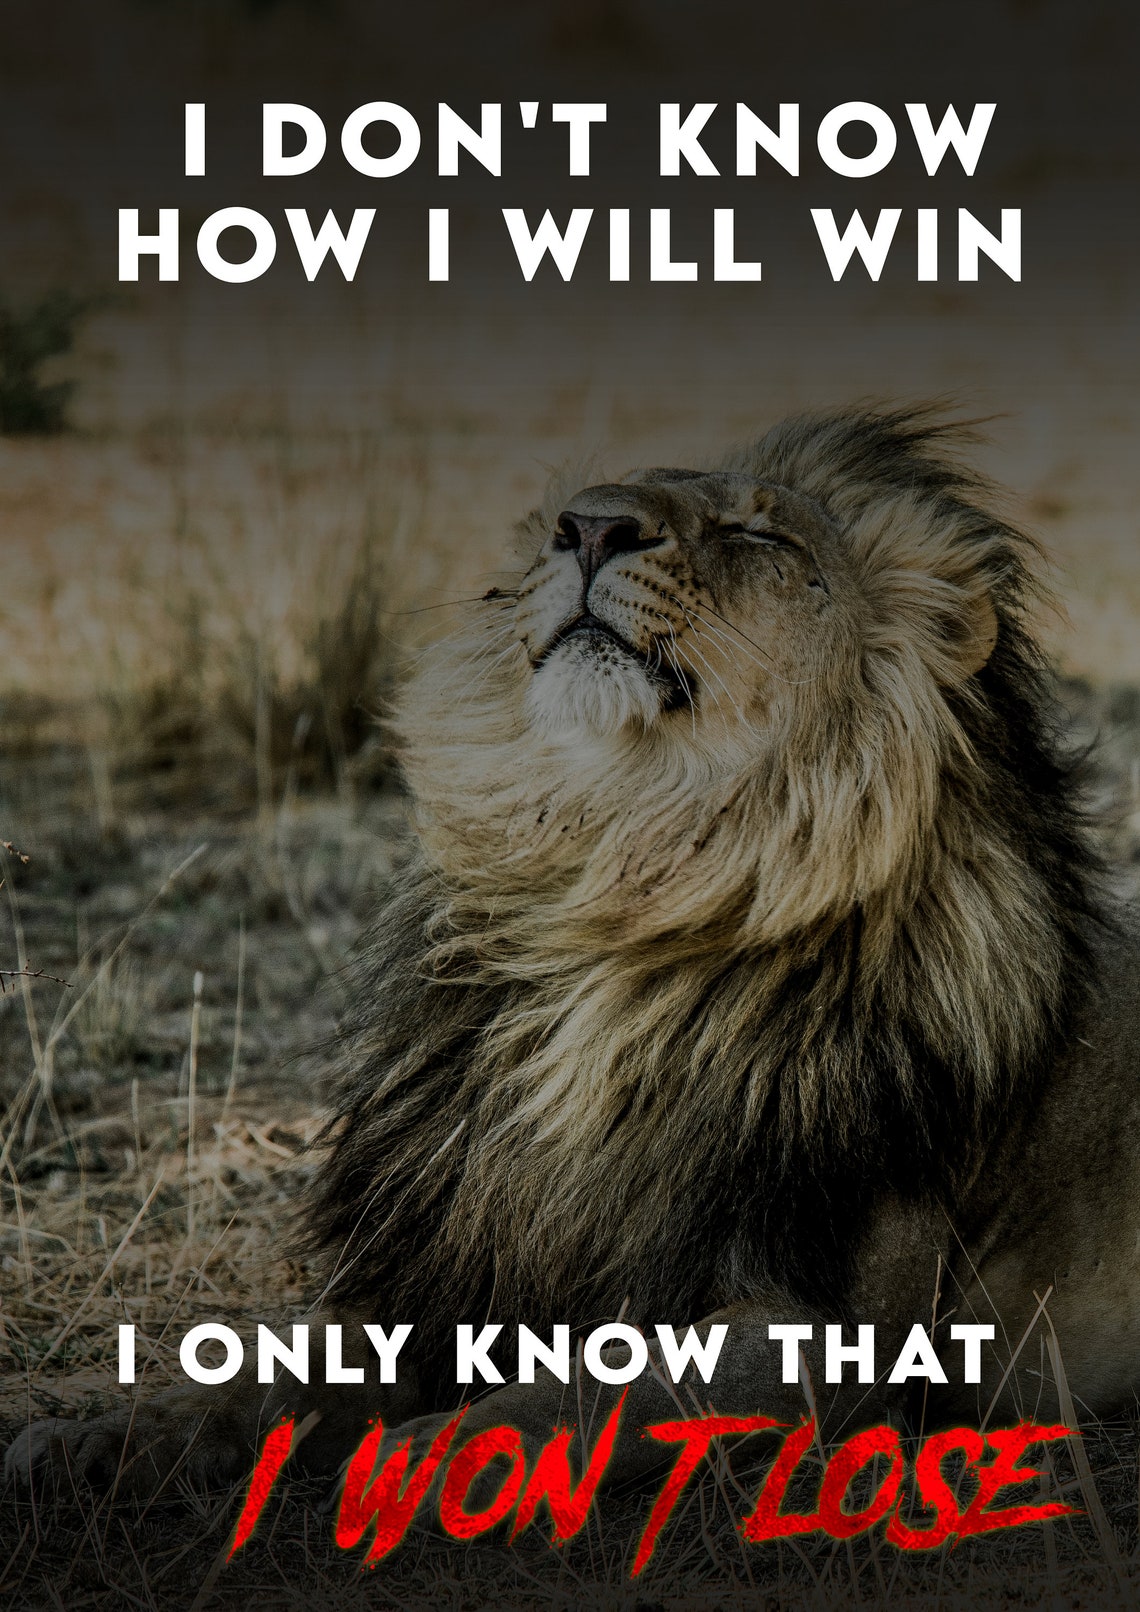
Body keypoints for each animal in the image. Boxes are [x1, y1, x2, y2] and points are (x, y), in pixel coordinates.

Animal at [8, 404, 1140, 1515]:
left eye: (761, 536)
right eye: (567, 516)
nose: (591, 527)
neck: (620, 886)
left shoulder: (829, 1326)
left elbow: (585, 1391)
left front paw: (425, 1461)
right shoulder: (447, 1259)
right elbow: (264, 1376)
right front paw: (102, 1436)